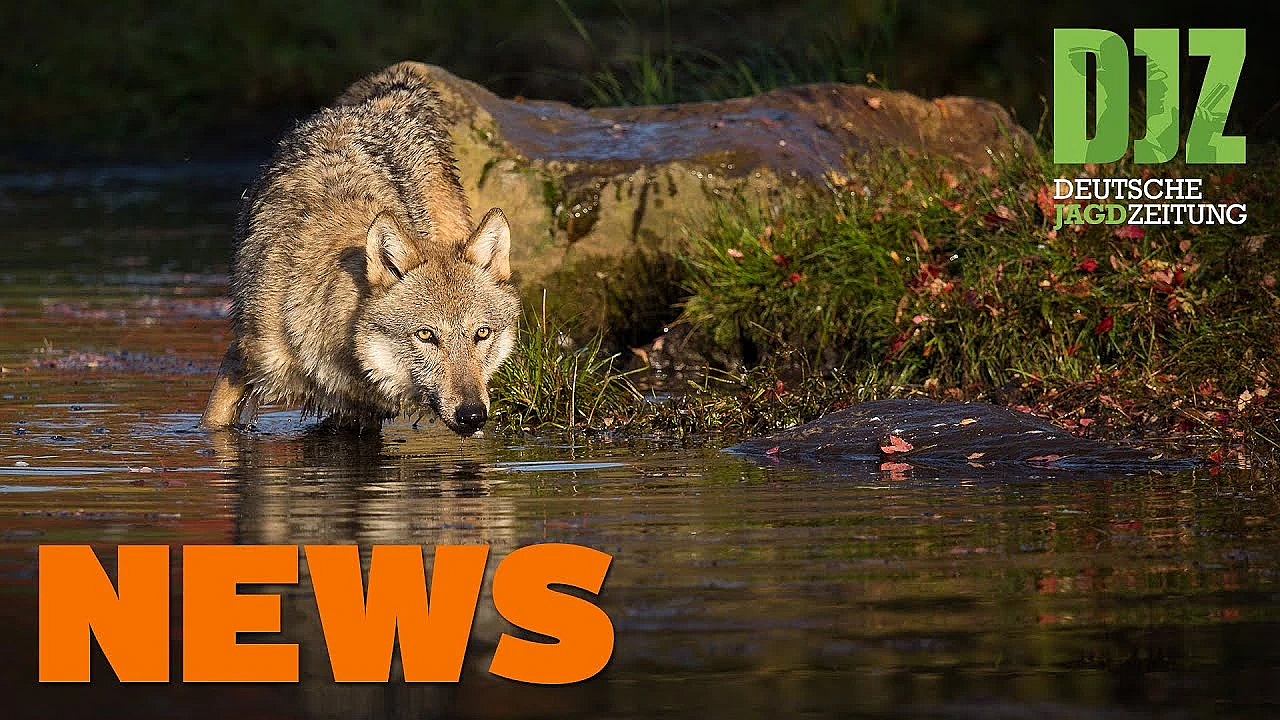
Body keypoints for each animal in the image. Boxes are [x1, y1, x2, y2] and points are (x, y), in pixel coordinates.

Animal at [201, 62, 520, 435]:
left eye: (482, 333)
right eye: (426, 335)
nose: (473, 415)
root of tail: (386, 99)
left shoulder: (362, 413)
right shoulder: (241, 360)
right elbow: (213, 422)